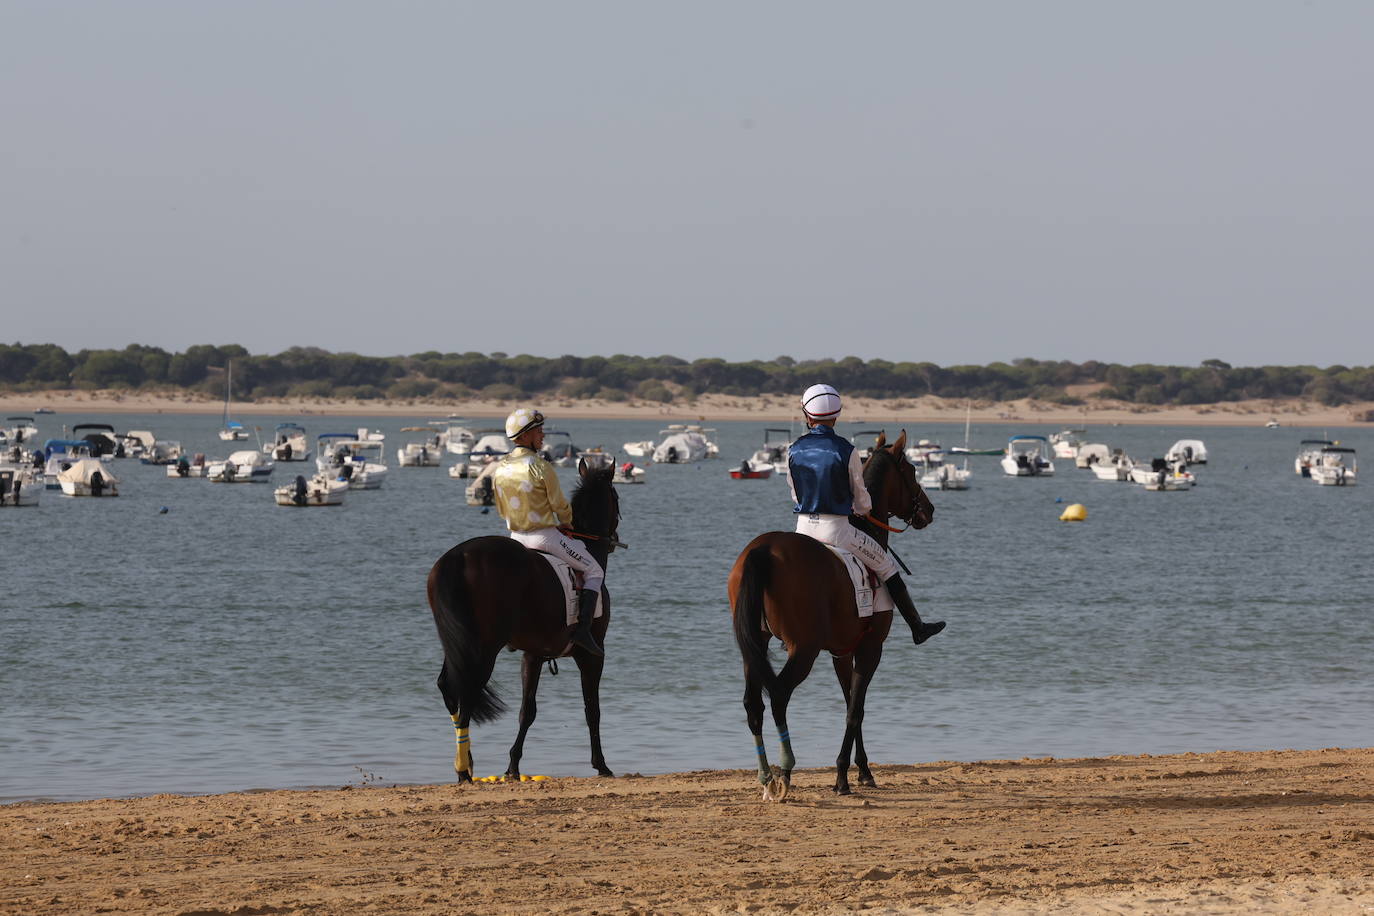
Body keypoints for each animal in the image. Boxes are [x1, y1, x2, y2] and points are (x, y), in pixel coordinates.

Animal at [428, 460, 621, 782]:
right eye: (616, 497)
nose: (614, 540)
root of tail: (459, 557)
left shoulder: (533, 655)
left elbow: (527, 711)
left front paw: (513, 767)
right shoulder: (592, 655)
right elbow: (591, 709)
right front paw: (602, 764)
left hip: (458, 644)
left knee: (449, 687)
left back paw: (466, 764)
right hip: (484, 648)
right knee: (466, 689)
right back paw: (464, 769)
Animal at [729, 430, 935, 796]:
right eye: (911, 471)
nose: (930, 509)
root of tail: (762, 549)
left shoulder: (842, 651)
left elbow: (851, 701)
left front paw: (862, 770)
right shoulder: (870, 648)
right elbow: (856, 709)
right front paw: (843, 776)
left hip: (755, 644)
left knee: (753, 704)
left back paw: (766, 777)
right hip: (803, 649)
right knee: (779, 694)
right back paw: (785, 770)